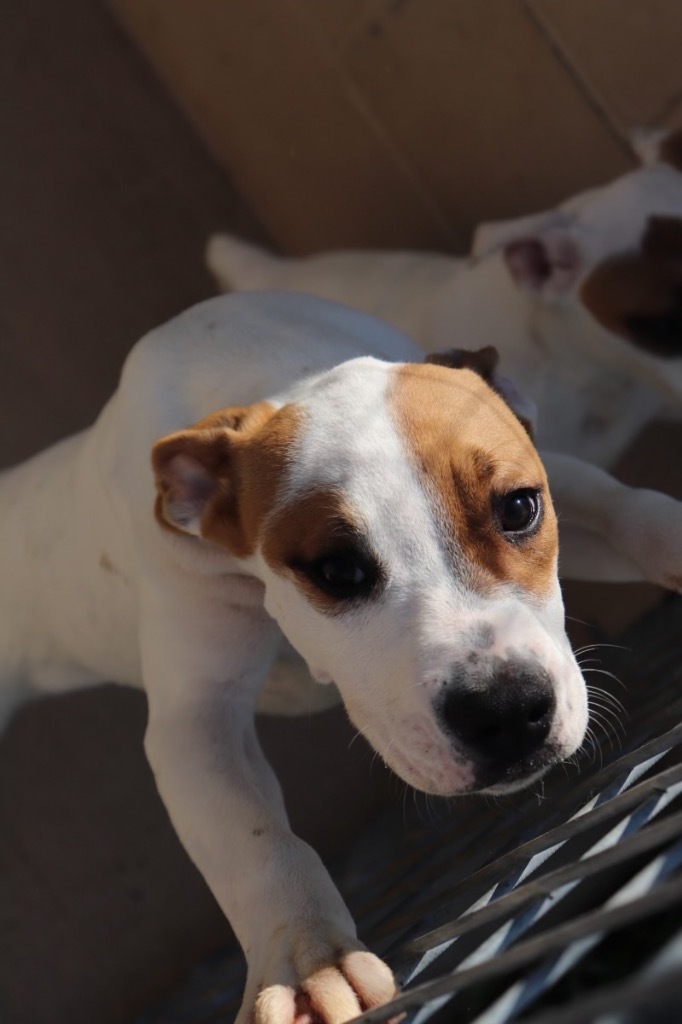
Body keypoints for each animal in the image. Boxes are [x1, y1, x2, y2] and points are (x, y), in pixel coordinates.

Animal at [1, 292, 585, 1024]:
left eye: (520, 507)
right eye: (337, 570)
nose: (505, 712)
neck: (274, 367)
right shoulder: (196, 714)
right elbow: (252, 837)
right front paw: (310, 961)